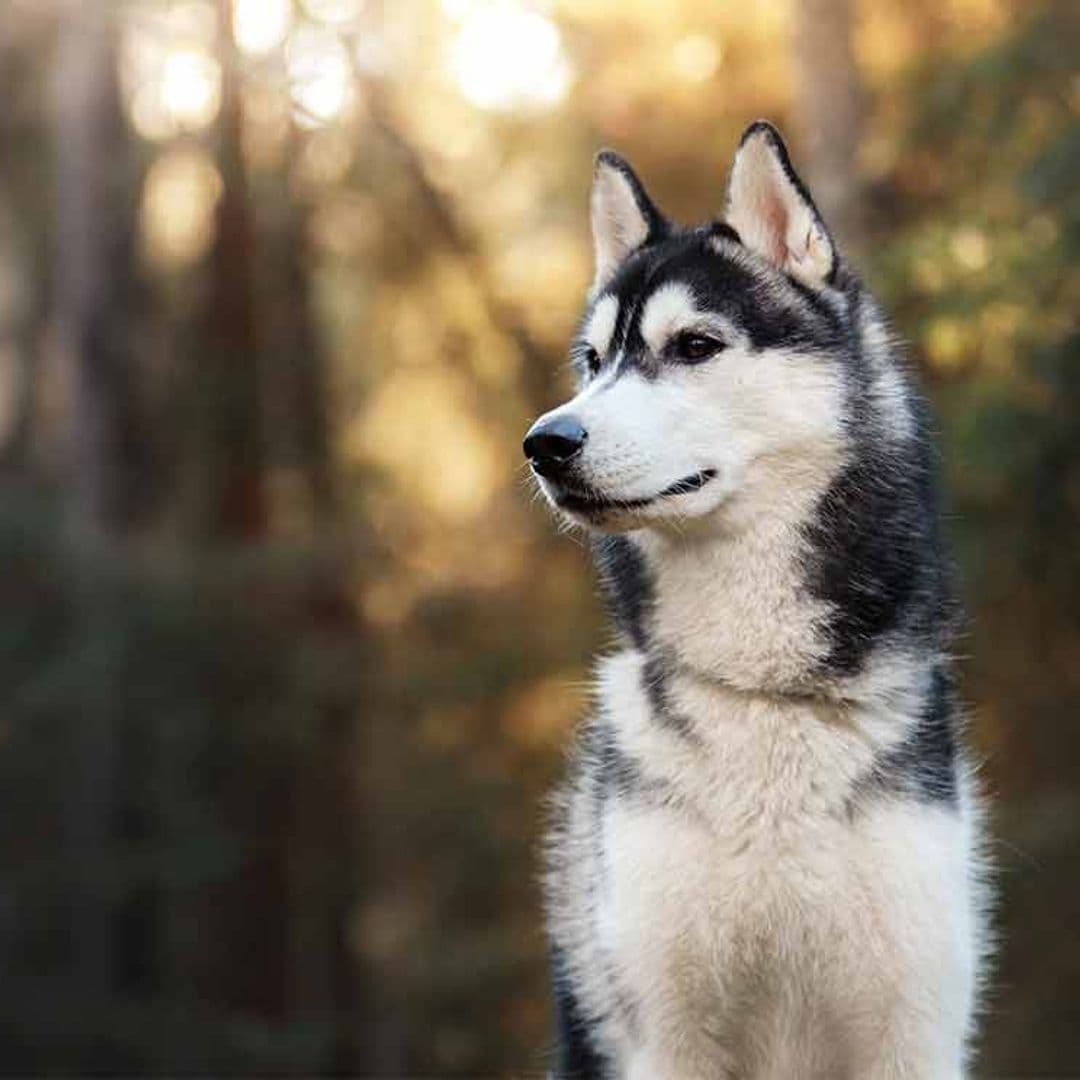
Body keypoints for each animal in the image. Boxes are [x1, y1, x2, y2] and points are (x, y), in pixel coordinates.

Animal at [527, 120, 989, 1080]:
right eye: (592, 362)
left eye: (694, 346)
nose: (546, 441)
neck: (765, 693)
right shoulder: (666, 1035)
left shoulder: (911, 1028)